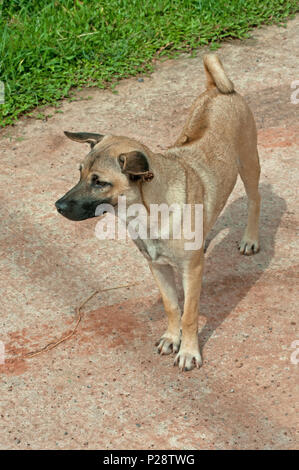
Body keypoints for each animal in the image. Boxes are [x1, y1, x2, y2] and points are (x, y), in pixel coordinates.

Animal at [55, 54, 260, 370]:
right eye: (79, 174)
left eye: (100, 182)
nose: (59, 206)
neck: (147, 213)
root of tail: (218, 89)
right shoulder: (158, 267)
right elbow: (172, 307)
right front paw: (172, 337)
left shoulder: (191, 271)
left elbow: (189, 315)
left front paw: (188, 351)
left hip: (249, 164)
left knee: (255, 201)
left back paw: (250, 238)